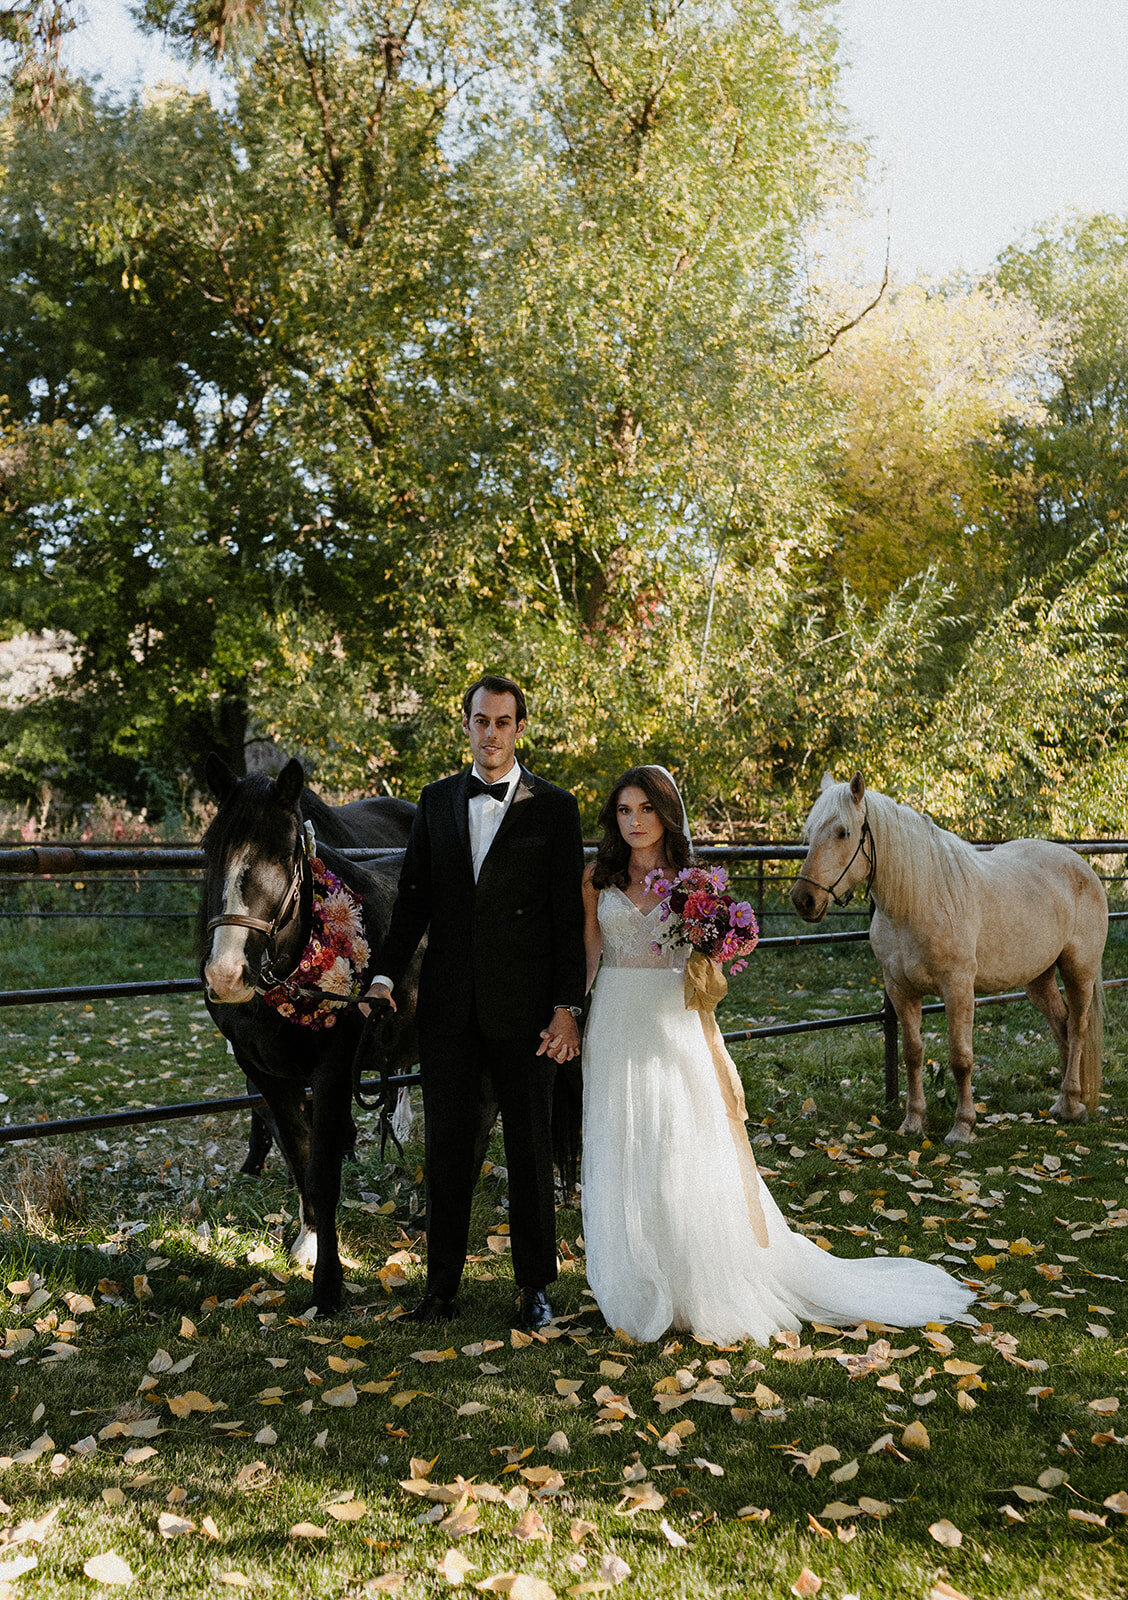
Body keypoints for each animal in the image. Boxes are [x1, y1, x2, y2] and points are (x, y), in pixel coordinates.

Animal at [200, 755, 419, 1318]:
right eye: (209, 849)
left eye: (283, 853)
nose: (227, 975)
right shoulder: (268, 1076)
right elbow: (298, 1158)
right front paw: (307, 1245)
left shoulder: (332, 1074)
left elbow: (322, 1172)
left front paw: (328, 1287)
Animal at [787, 771, 1107, 1139]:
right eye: (810, 832)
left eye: (843, 832)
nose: (803, 899)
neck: (919, 900)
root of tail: (1082, 866)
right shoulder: (900, 990)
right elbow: (913, 1054)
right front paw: (912, 1122)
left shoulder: (957, 989)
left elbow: (960, 1058)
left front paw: (962, 1127)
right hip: (1038, 979)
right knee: (1061, 1025)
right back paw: (1066, 1103)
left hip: (1079, 970)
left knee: (1078, 1027)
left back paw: (1073, 1105)